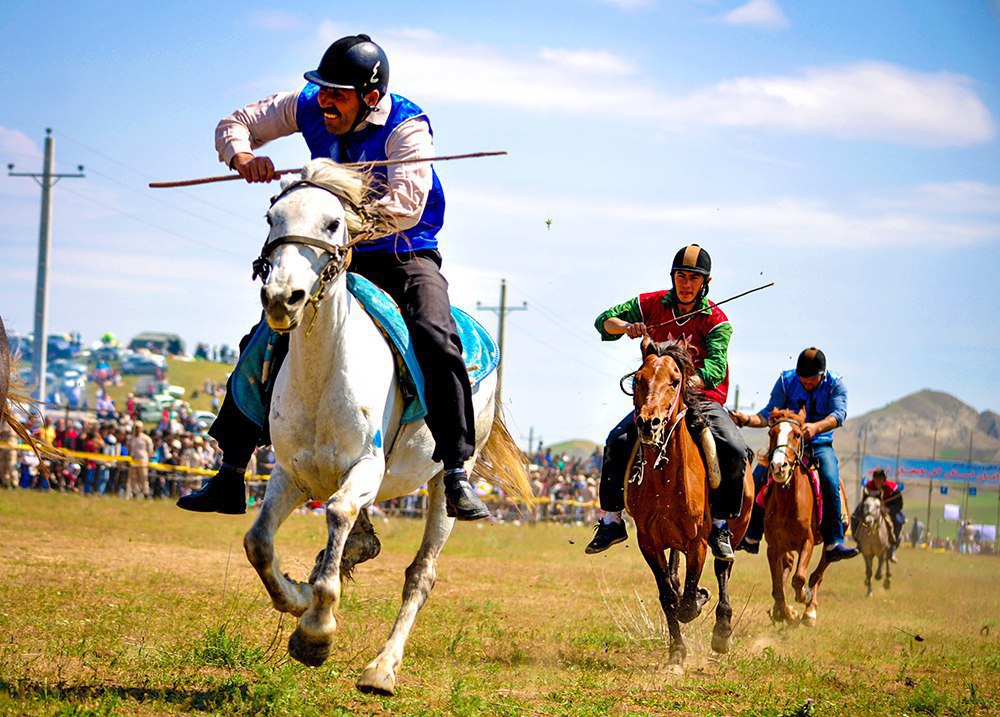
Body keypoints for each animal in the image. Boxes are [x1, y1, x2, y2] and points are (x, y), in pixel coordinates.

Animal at [242, 159, 536, 696]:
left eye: (332, 223)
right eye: (272, 219)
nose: (281, 298)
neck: (323, 371)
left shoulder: (365, 467)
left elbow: (336, 518)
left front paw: (316, 633)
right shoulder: (291, 474)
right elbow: (259, 543)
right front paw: (296, 599)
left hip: (444, 483)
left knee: (421, 572)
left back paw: (381, 668)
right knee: (363, 543)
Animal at [624, 338, 752, 664]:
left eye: (674, 381)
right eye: (638, 379)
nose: (649, 423)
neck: (665, 479)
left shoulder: (698, 542)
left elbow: (690, 598)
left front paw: (699, 601)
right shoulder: (648, 541)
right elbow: (668, 595)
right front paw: (676, 650)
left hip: (735, 530)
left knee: (723, 569)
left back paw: (722, 630)